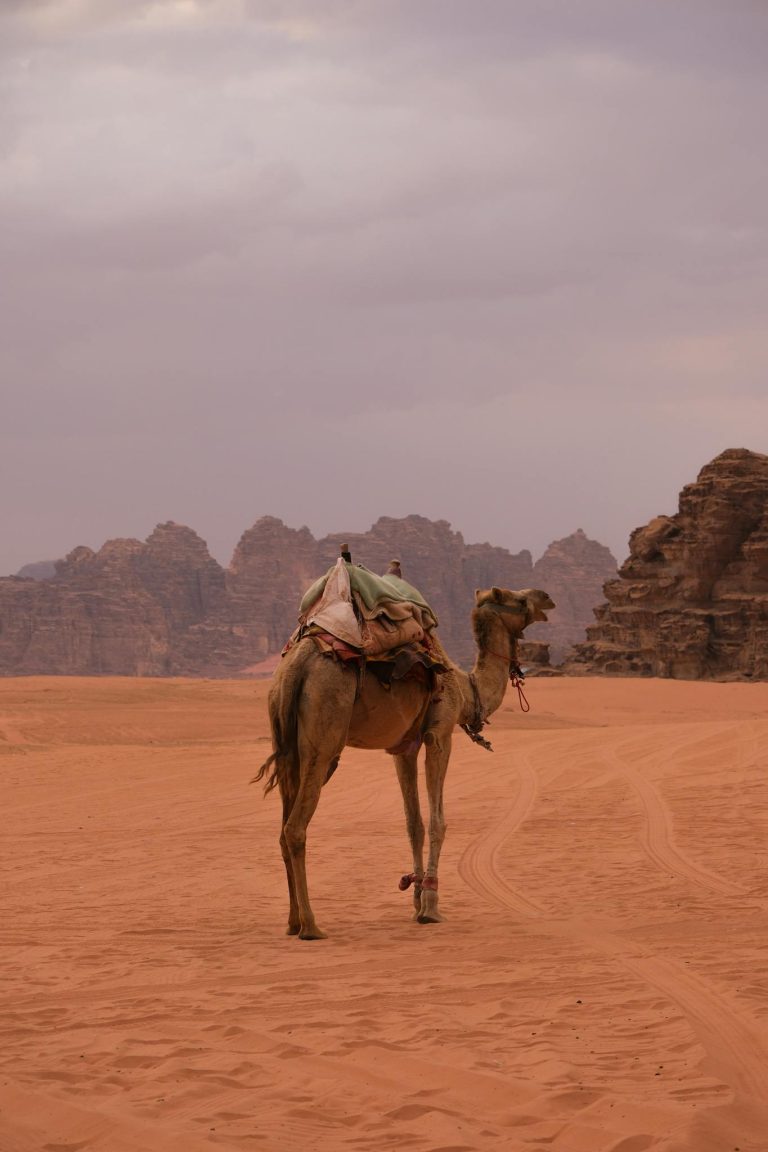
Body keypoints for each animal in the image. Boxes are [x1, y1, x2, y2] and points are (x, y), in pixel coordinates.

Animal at [254, 584, 555, 939]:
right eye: (519, 600)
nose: (546, 597)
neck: (465, 688)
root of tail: (294, 668)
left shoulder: (403, 749)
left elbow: (414, 823)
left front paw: (416, 899)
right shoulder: (440, 734)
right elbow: (438, 822)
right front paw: (431, 908)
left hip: (287, 743)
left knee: (282, 828)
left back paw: (292, 921)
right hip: (323, 738)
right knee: (295, 828)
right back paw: (311, 926)